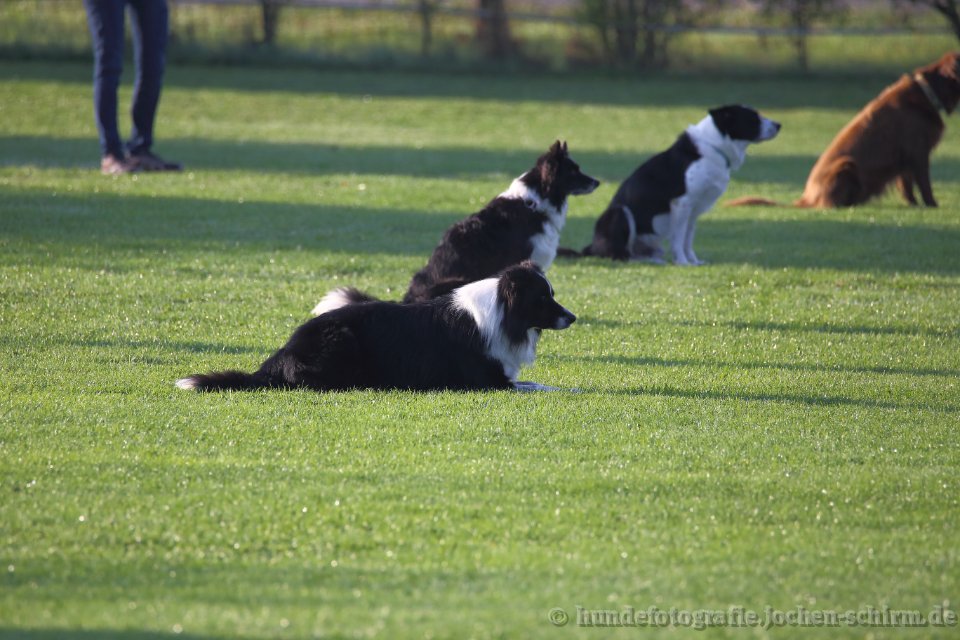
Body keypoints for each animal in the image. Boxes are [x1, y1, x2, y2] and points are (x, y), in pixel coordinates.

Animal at [177, 262, 576, 393]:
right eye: (543, 298)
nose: (572, 317)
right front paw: (572, 390)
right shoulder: (489, 381)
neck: (502, 311)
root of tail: (279, 356)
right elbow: (540, 385)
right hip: (342, 340)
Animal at [562, 105, 779, 265]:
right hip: (621, 212)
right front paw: (683, 262)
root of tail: (591, 246)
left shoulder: (694, 210)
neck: (714, 147)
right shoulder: (682, 203)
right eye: (753, 118)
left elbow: (688, 239)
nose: (779, 124)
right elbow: (678, 239)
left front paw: (694, 261)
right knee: (617, 254)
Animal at [729, 52, 960, 209]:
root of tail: (807, 197)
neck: (927, 93)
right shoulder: (918, 152)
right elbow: (925, 185)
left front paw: (914, 205)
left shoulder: (906, 159)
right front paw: (932, 206)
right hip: (847, 164)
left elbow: (907, 186)